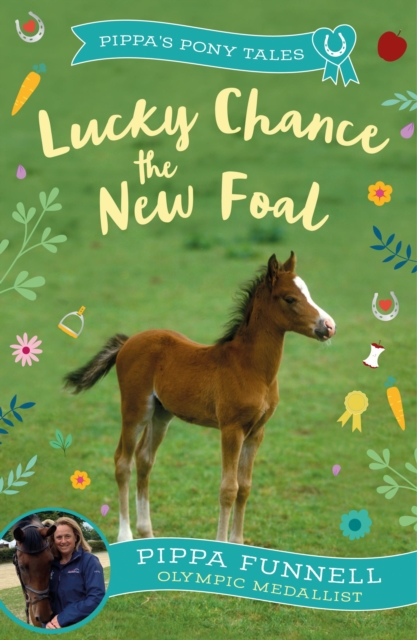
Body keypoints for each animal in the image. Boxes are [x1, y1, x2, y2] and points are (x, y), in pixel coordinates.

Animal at [64, 252, 336, 544]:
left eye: (308, 293)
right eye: (290, 298)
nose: (329, 326)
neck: (251, 368)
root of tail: (128, 342)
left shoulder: (256, 432)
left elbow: (245, 488)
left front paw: (239, 543)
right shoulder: (231, 429)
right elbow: (228, 489)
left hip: (161, 413)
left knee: (144, 459)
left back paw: (147, 533)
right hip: (135, 409)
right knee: (122, 462)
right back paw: (126, 535)